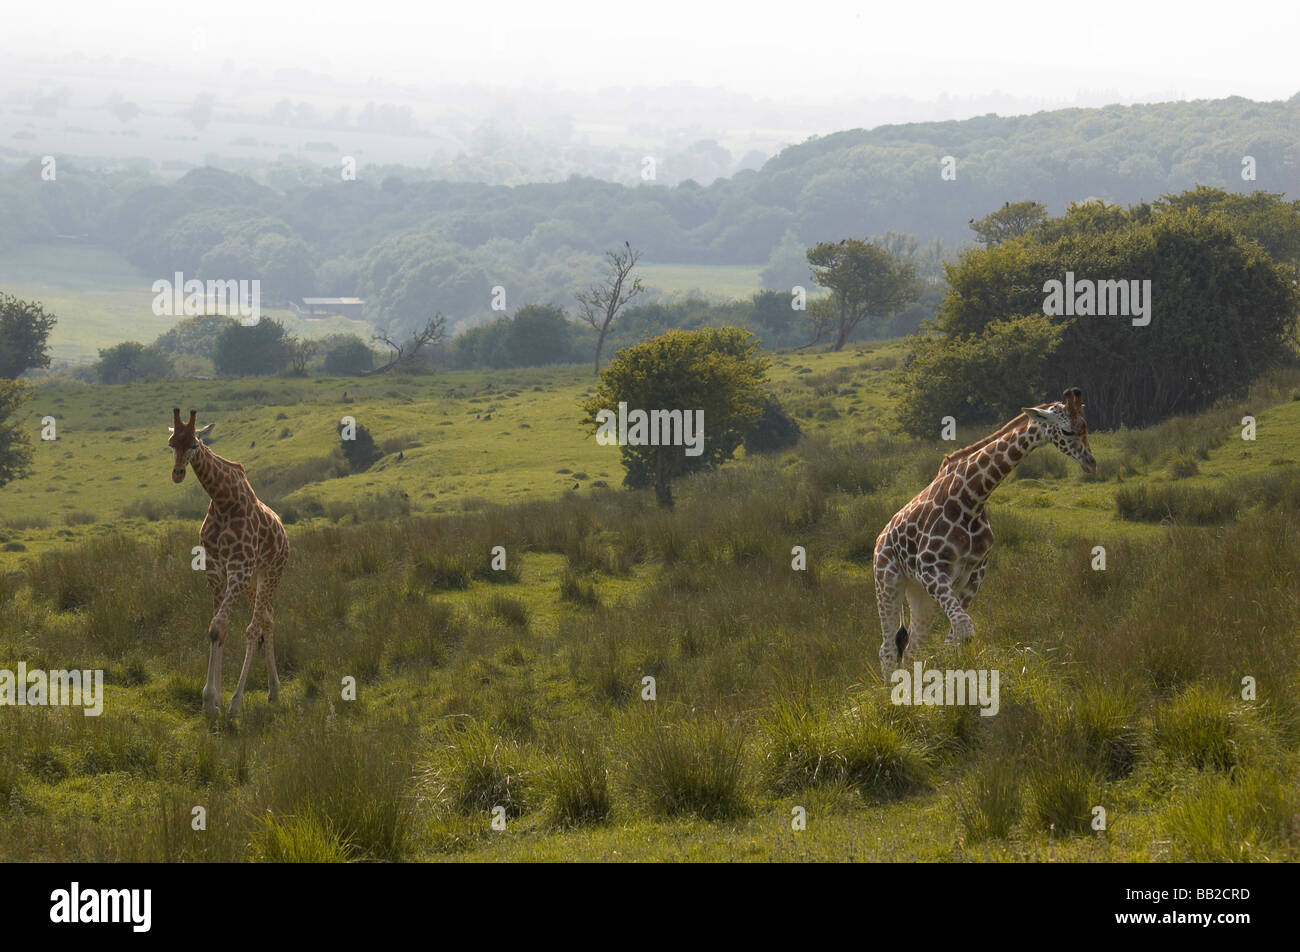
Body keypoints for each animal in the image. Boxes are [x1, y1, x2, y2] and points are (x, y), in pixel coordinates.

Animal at [169, 408, 291, 712]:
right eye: (171, 443)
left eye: (194, 444)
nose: (178, 473)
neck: (224, 501)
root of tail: (285, 535)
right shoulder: (214, 568)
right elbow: (216, 628)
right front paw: (212, 701)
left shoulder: (238, 569)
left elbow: (219, 627)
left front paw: (215, 700)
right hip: (255, 578)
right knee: (268, 618)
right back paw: (273, 692)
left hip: (271, 572)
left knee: (254, 627)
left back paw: (238, 702)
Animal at [873, 387, 1097, 676]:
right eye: (1067, 431)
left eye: (1085, 426)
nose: (1091, 463)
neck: (972, 498)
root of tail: (880, 538)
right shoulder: (929, 569)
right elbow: (964, 629)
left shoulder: (975, 573)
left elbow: (955, 637)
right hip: (888, 582)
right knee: (888, 649)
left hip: (919, 593)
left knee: (913, 647)